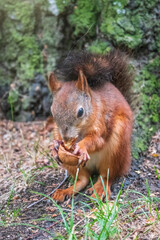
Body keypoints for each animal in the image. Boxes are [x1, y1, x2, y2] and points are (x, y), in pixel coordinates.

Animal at [48, 51, 132, 202]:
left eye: (80, 112)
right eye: (52, 111)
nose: (66, 138)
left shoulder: (101, 122)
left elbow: (96, 140)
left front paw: (81, 148)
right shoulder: (59, 129)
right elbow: (57, 134)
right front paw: (55, 145)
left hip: (116, 150)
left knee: (106, 176)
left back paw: (100, 189)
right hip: (73, 166)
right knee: (84, 179)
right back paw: (66, 191)